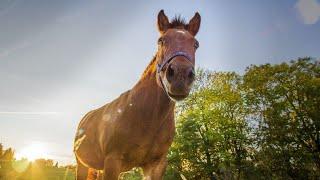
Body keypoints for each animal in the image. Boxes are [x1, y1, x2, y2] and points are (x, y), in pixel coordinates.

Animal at [74, 10, 201, 180]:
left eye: (196, 44)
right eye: (161, 41)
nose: (180, 76)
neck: (147, 118)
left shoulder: (156, 165)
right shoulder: (112, 161)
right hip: (82, 165)